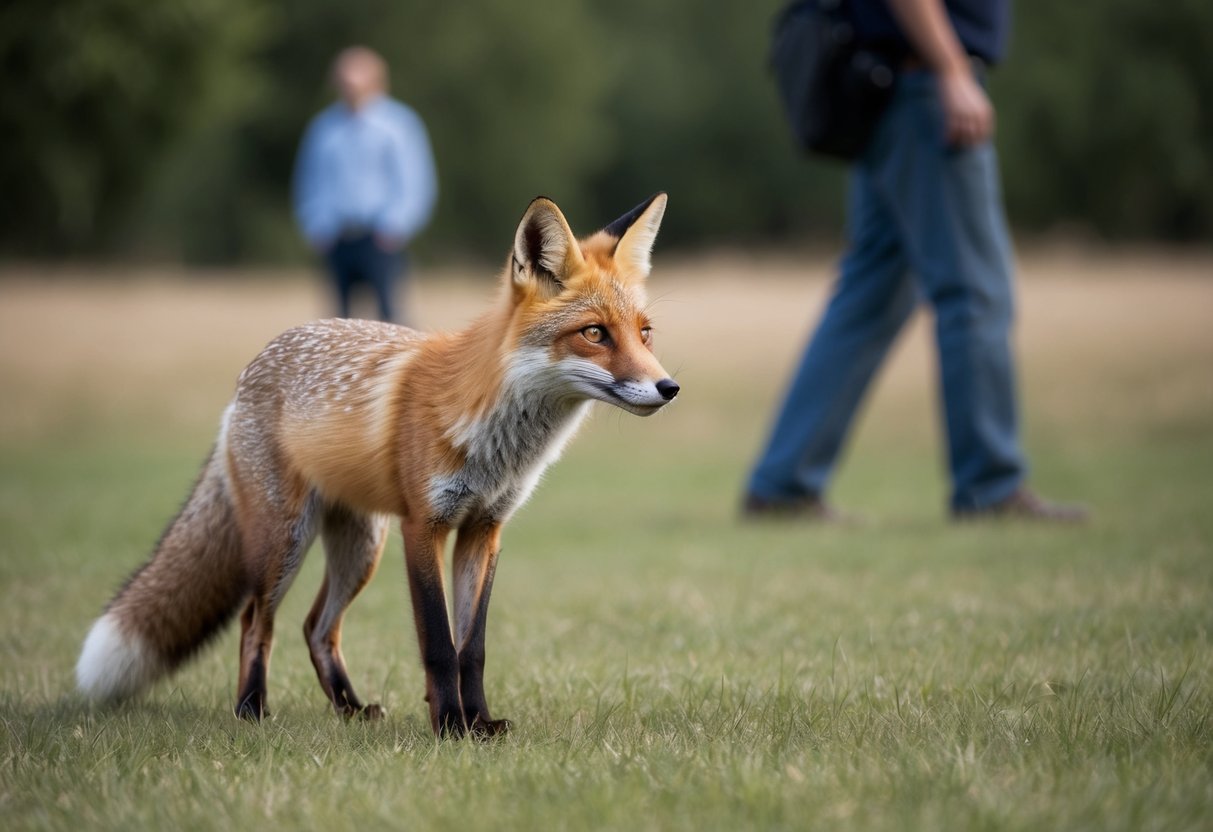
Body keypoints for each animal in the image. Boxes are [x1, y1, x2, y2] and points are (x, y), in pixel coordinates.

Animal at [76, 194, 678, 737]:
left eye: (645, 332)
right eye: (594, 333)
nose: (668, 388)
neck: (497, 441)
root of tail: (252, 369)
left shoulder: (484, 529)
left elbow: (472, 647)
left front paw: (480, 724)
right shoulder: (423, 526)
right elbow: (438, 643)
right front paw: (449, 727)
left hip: (360, 547)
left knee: (317, 627)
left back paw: (349, 709)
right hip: (285, 541)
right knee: (255, 621)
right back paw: (251, 710)